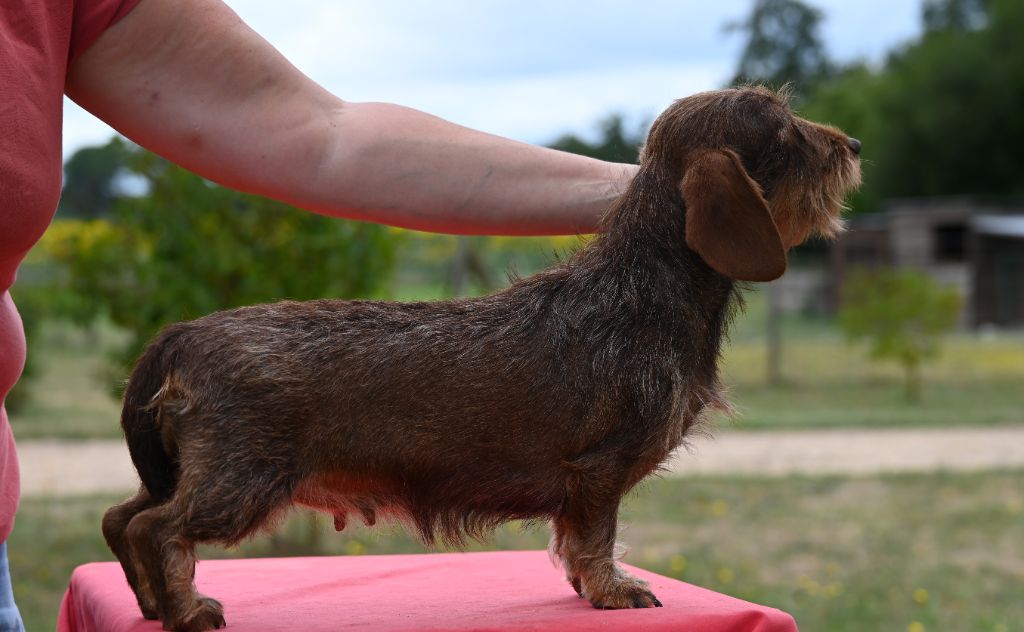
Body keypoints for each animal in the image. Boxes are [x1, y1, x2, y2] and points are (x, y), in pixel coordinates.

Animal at [101, 85, 856, 630]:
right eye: (784, 130)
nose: (850, 143)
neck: (645, 283)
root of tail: (184, 334)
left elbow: (576, 542)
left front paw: (588, 586)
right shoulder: (600, 468)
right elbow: (596, 536)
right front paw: (612, 589)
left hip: (194, 472)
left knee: (121, 517)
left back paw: (151, 603)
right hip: (242, 480)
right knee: (154, 526)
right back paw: (187, 610)